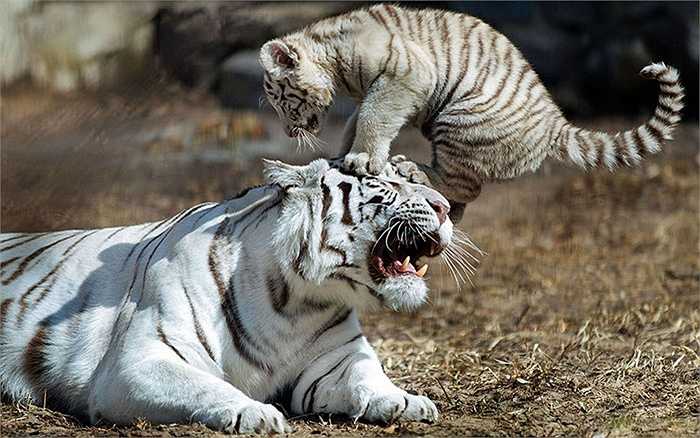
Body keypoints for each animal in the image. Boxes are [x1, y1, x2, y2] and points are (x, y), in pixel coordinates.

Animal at [0, 158, 452, 434]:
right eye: (386, 184)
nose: (445, 207)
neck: (296, 302)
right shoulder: (138, 362)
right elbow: (204, 386)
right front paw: (255, 413)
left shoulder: (337, 360)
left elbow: (367, 377)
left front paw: (406, 400)